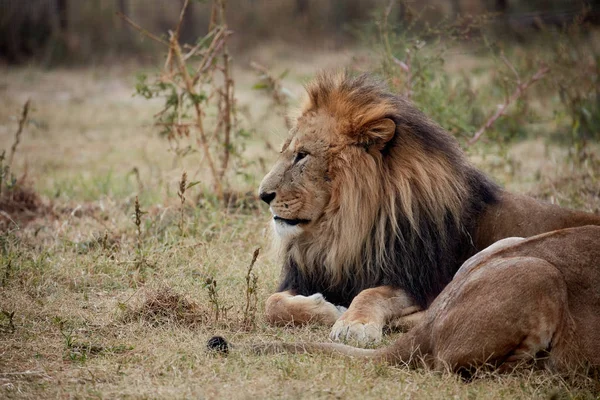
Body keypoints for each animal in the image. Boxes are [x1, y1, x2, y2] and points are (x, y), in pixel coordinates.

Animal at [260, 72, 600, 344]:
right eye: (286, 152)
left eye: (302, 155)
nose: (263, 195)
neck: (344, 232)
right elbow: (271, 303)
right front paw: (328, 307)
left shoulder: (416, 281)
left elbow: (371, 293)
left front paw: (353, 322)